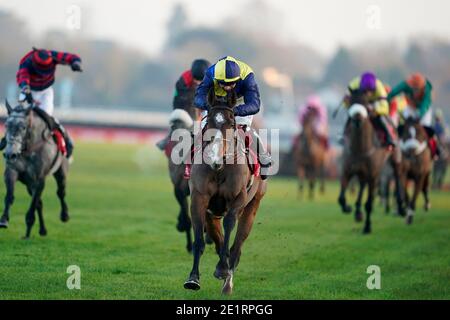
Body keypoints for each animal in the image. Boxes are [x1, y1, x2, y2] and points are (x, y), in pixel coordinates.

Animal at [0, 101, 69, 239]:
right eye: (6, 125)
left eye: (23, 127)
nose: (10, 154)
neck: (29, 149)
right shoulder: (12, 170)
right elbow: (9, 196)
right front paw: (4, 219)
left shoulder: (38, 180)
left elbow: (33, 205)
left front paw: (28, 228)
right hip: (28, 184)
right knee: (39, 203)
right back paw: (42, 230)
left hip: (61, 171)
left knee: (60, 192)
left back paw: (64, 215)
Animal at [184, 90, 268, 296]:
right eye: (209, 122)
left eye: (231, 123)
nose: (215, 159)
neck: (219, 169)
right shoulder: (199, 199)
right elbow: (199, 240)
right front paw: (193, 278)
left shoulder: (238, 199)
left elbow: (230, 226)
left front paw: (222, 269)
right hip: (212, 214)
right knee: (218, 239)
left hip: (253, 205)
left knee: (237, 244)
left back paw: (227, 282)